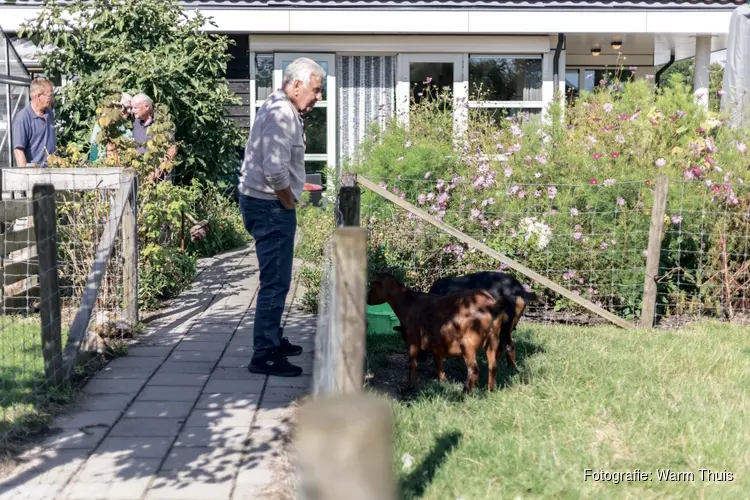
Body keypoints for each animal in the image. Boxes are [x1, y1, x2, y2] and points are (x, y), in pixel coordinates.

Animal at [368, 274, 512, 394]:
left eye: (372, 286)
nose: (367, 299)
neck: (407, 302)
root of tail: (492, 305)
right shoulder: (436, 342)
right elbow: (438, 361)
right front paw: (442, 381)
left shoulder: (413, 340)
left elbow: (413, 363)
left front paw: (410, 385)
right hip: (493, 340)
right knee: (493, 366)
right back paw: (490, 391)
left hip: (468, 344)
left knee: (474, 370)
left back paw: (464, 394)